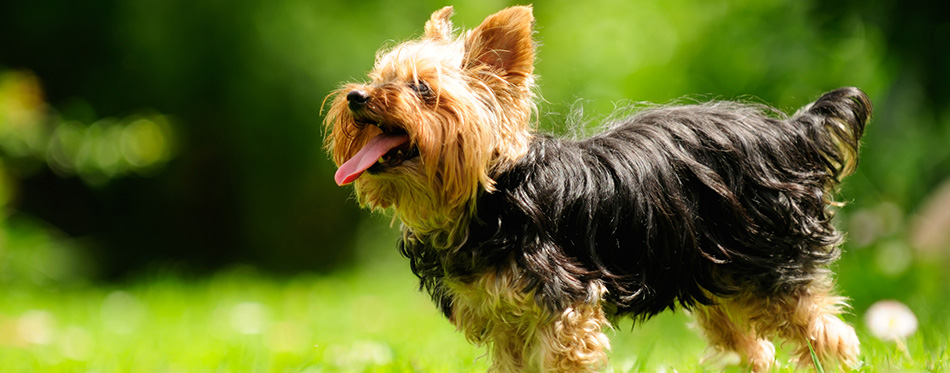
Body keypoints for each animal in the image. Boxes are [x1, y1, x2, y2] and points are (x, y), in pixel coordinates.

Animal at [326, 5, 872, 370]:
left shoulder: (565, 310)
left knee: (830, 336)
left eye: (422, 90)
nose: (356, 97)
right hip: (716, 276)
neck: (488, 197)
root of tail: (790, 133)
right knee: (751, 349)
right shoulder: (506, 321)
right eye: (377, 77)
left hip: (771, 266)